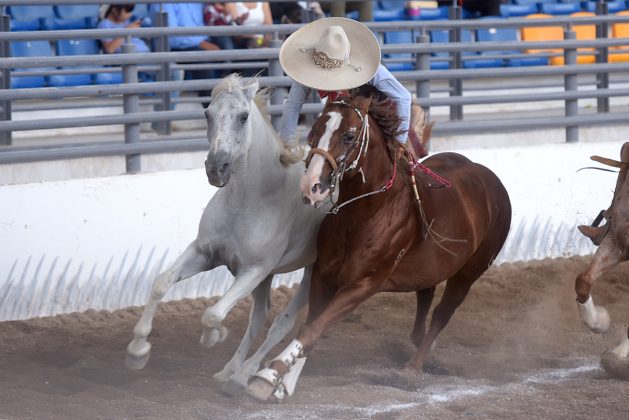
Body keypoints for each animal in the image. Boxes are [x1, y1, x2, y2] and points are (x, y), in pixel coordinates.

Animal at [125, 73, 326, 394]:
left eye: (243, 116)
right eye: (207, 114)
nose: (216, 168)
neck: (250, 200)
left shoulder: (255, 270)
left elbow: (214, 314)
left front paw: (213, 336)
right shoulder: (203, 253)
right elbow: (161, 283)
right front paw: (138, 349)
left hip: (310, 272)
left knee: (283, 322)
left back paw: (244, 376)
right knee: (260, 316)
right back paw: (229, 370)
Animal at [245, 86, 510, 400]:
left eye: (349, 136)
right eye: (314, 131)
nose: (311, 186)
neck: (367, 214)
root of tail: (491, 180)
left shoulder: (364, 285)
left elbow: (312, 329)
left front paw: (268, 376)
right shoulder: (324, 276)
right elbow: (313, 325)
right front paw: (285, 383)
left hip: (469, 273)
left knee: (441, 315)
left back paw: (414, 366)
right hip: (432, 269)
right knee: (425, 301)